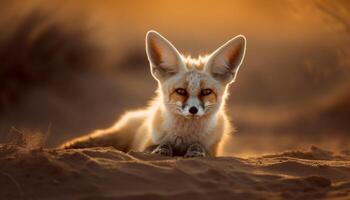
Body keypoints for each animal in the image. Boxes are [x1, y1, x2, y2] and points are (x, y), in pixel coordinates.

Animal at [60, 30, 246, 157]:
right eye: (180, 91)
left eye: (206, 92)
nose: (193, 110)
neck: (183, 138)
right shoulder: (144, 146)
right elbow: (161, 146)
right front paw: (162, 150)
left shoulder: (214, 149)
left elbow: (200, 148)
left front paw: (195, 151)